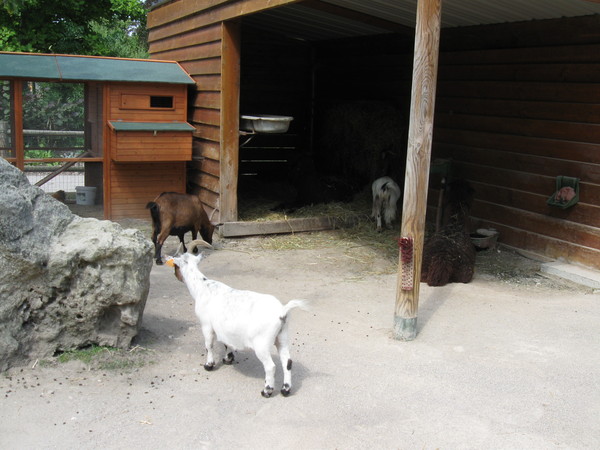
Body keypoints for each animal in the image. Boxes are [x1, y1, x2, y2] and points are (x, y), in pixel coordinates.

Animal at [165, 239, 304, 398]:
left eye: (176, 265)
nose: (176, 276)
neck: (202, 287)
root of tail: (282, 311)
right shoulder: (224, 329)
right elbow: (227, 343)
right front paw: (228, 359)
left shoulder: (206, 325)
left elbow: (209, 345)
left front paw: (209, 365)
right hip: (282, 337)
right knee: (287, 362)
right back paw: (285, 389)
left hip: (261, 343)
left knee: (270, 366)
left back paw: (267, 391)